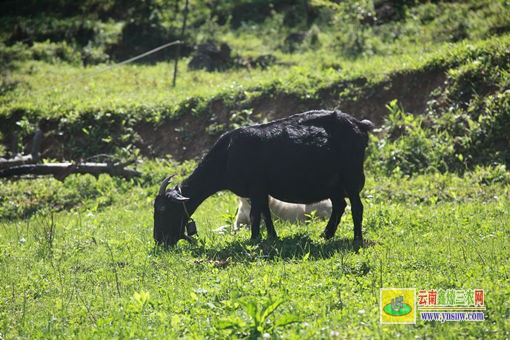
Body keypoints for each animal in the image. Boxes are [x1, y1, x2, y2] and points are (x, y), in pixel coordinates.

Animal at [153, 111, 372, 247]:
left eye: (163, 209)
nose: (158, 240)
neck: (227, 155)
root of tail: (360, 125)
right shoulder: (260, 190)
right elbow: (266, 214)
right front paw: (272, 237)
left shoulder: (256, 187)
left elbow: (255, 215)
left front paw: (254, 239)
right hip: (332, 183)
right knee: (340, 205)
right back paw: (325, 235)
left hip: (351, 175)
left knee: (356, 207)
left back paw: (356, 239)